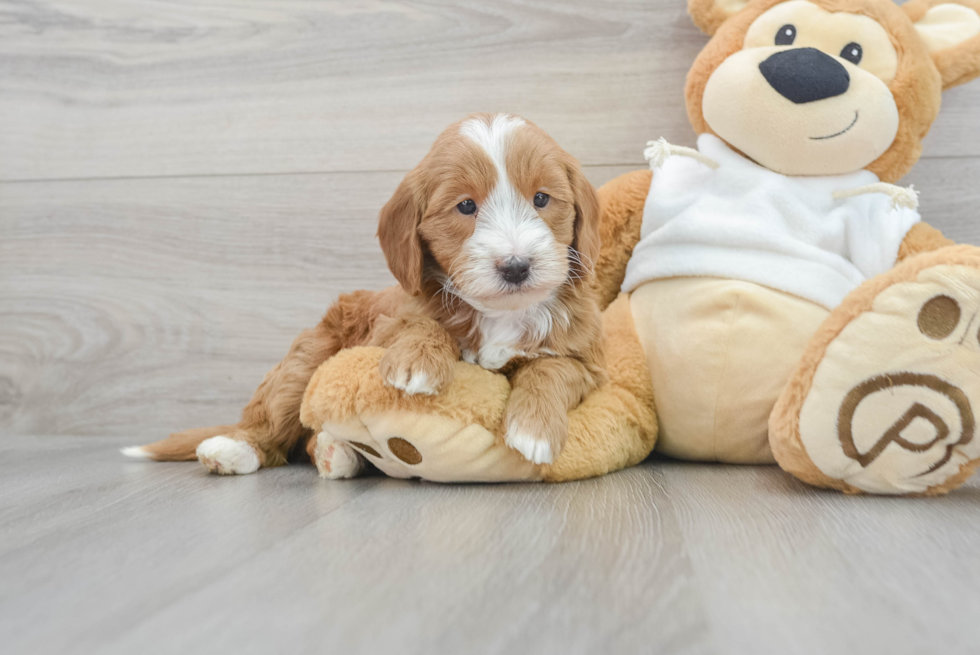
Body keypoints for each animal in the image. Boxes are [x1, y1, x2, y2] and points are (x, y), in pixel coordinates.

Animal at [125, 114, 604, 476]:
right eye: (466, 206)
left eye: (541, 198)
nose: (516, 266)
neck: (500, 314)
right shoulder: (386, 325)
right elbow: (422, 323)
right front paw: (417, 360)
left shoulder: (589, 360)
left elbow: (554, 368)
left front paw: (533, 428)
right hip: (307, 357)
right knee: (275, 420)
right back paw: (235, 449)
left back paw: (335, 454)